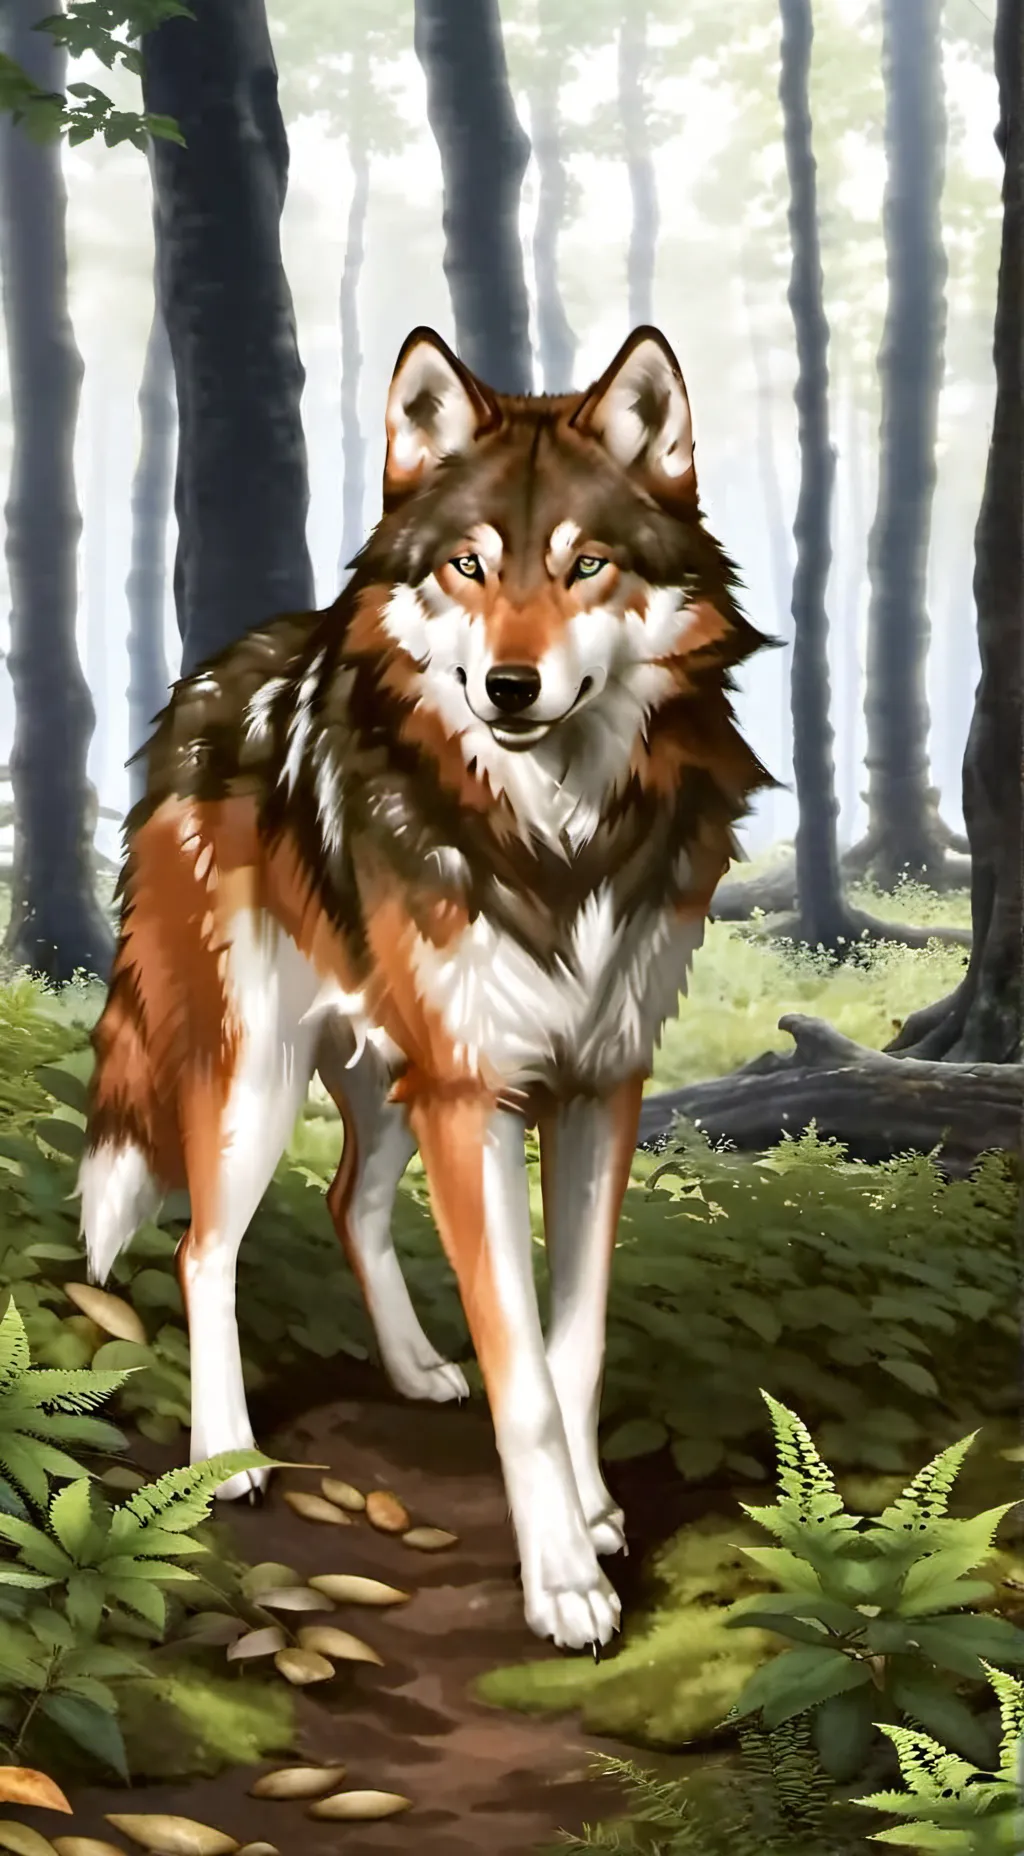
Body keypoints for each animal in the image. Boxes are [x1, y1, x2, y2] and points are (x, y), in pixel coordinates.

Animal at [77, 324, 771, 1651]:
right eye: (468, 563)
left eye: (586, 564)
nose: (509, 686)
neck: (553, 843)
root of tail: (204, 682)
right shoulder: (475, 1095)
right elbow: (525, 1376)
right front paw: (565, 1583)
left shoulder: (598, 1090)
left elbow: (572, 1346)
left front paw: (594, 1515)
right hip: (260, 1082)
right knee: (201, 1246)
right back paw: (228, 1452)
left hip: (388, 1082)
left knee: (347, 1201)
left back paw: (411, 1366)